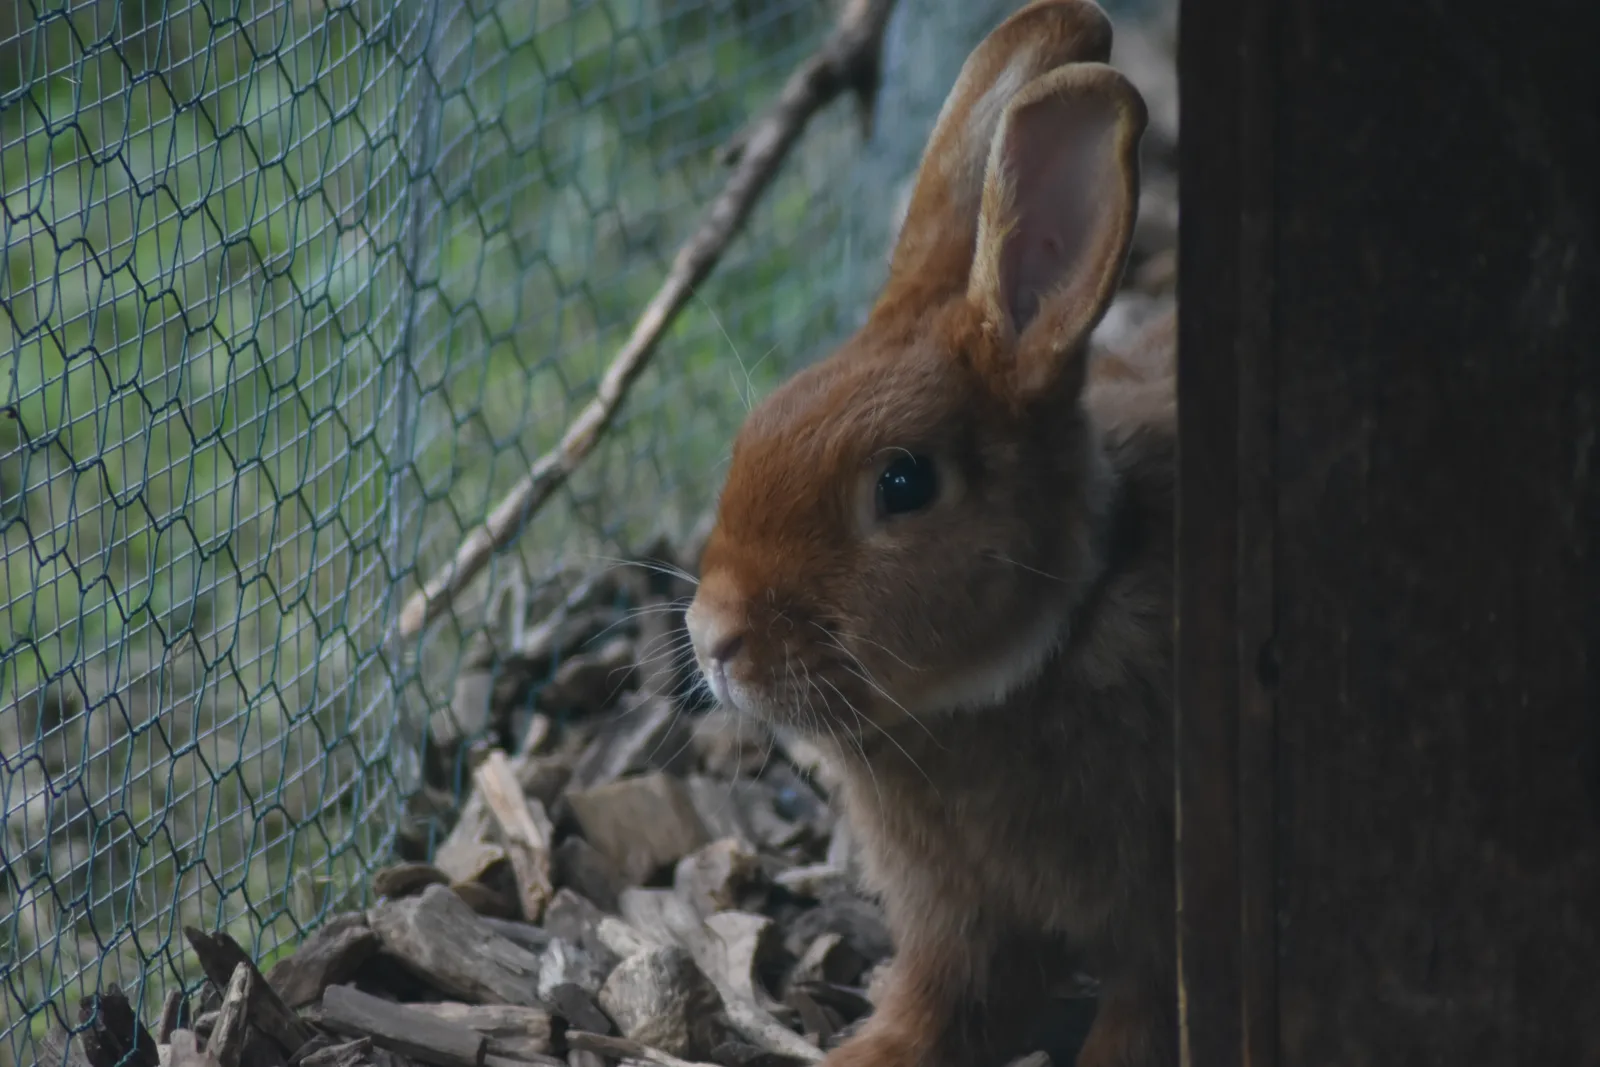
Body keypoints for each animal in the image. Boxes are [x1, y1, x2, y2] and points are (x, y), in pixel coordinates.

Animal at [684, 1, 1177, 1065]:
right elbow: (935, 997)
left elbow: (1137, 1017)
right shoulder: (955, 921)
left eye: (903, 483)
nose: (713, 640)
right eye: (755, 428)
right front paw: (863, 1052)